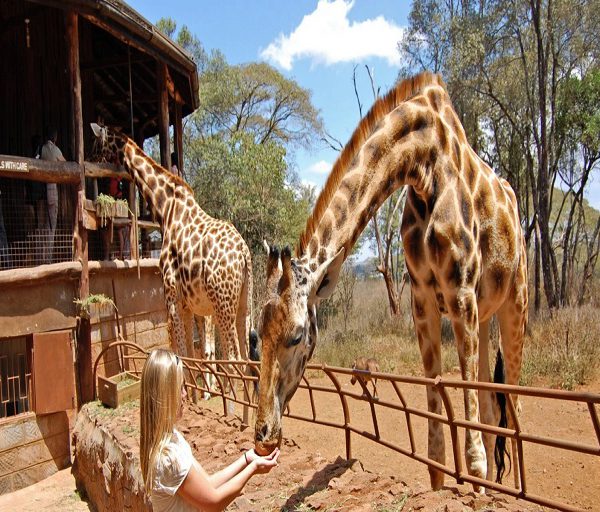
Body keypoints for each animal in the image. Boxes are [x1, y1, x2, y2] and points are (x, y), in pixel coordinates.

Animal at [90, 124, 254, 416]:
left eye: (97, 142)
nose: (90, 159)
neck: (165, 209)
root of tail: (244, 255)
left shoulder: (172, 297)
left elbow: (181, 353)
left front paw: (187, 401)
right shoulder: (188, 305)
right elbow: (190, 353)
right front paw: (196, 399)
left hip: (223, 303)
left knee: (234, 359)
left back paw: (233, 414)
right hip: (243, 303)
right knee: (246, 360)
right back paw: (248, 418)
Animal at [251, 72, 528, 492]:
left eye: (297, 336)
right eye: (257, 334)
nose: (263, 434)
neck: (424, 162)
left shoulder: (460, 290)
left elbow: (472, 444)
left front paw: (476, 480)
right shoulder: (422, 297)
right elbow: (436, 448)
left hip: (515, 300)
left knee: (514, 406)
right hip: (484, 313)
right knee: (492, 403)